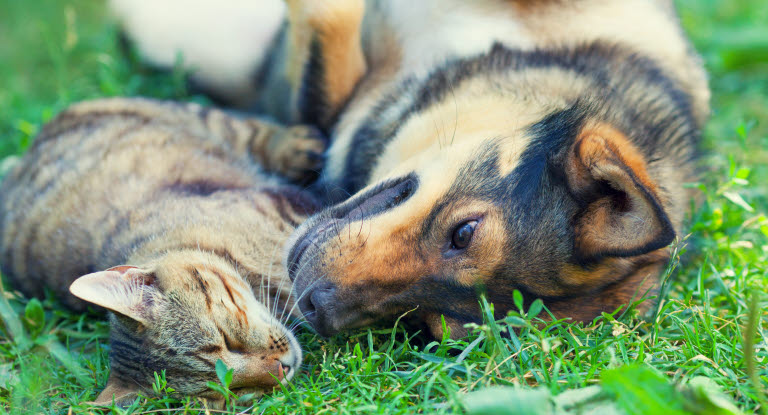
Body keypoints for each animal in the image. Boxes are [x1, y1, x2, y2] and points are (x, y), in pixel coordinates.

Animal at [0, 96, 326, 404]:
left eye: (226, 340)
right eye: (230, 393)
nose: (283, 369)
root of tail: (20, 164)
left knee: (247, 129)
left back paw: (297, 145)